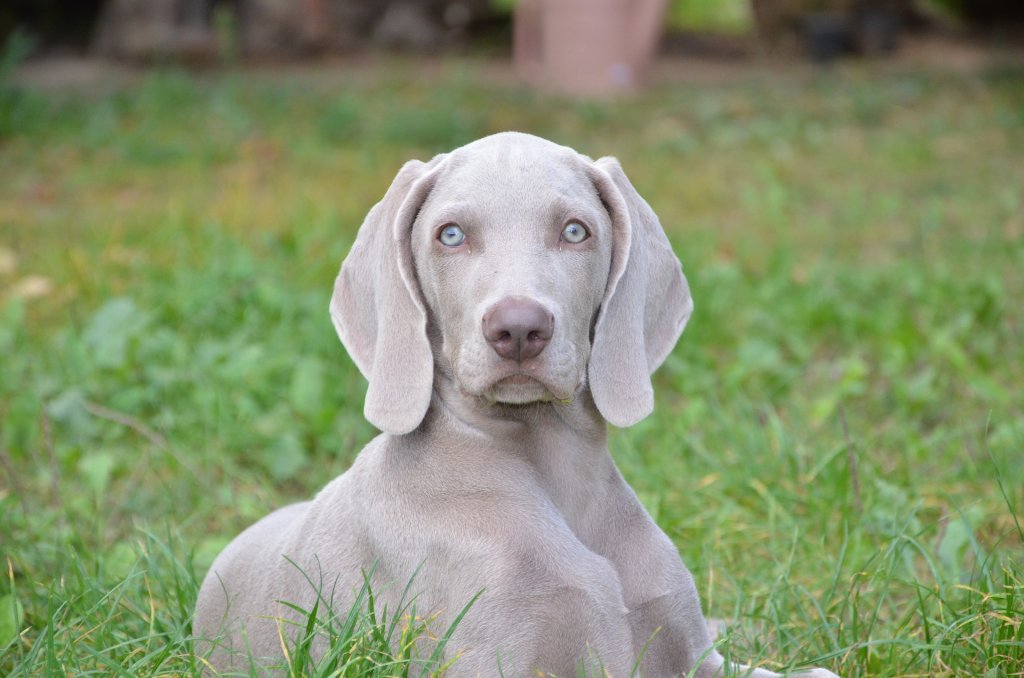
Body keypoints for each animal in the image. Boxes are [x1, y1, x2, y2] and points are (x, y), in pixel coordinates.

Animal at [193, 133, 839, 678]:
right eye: (450, 235)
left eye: (575, 232)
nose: (519, 329)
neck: (549, 465)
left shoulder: (696, 656)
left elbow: (816, 672)